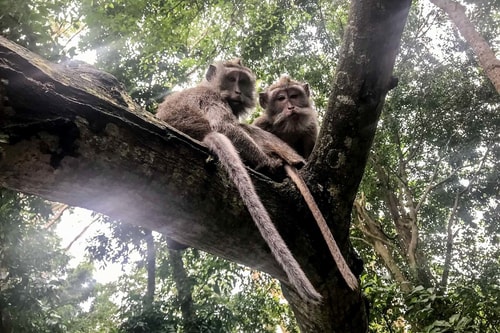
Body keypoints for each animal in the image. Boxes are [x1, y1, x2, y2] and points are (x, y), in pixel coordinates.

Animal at [154, 58, 322, 302]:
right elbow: (225, 126)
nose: (237, 92)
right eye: (231, 79)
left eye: (242, 82)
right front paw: (269, 165)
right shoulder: (211, 97)